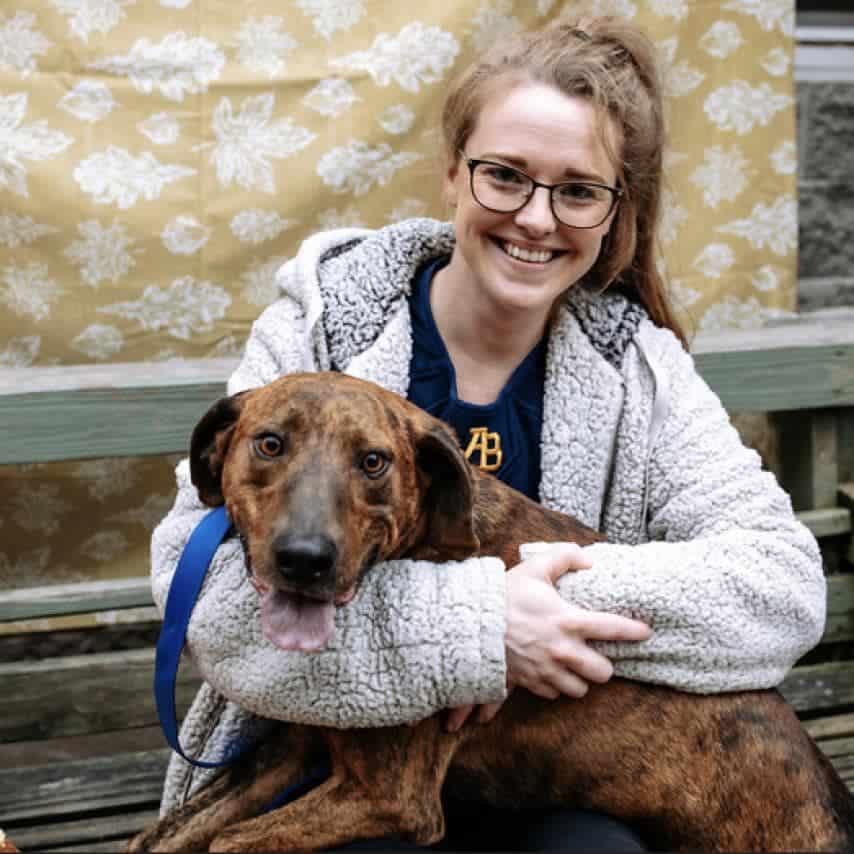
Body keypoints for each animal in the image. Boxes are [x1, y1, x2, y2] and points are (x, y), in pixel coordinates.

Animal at [127, 374, 854, 854]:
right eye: (270, 444)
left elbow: (225, 843)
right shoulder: (289, 752)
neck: (429, 538)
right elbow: (164, 836)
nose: (305, 560)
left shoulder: (388, 797)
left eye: (373, 461)